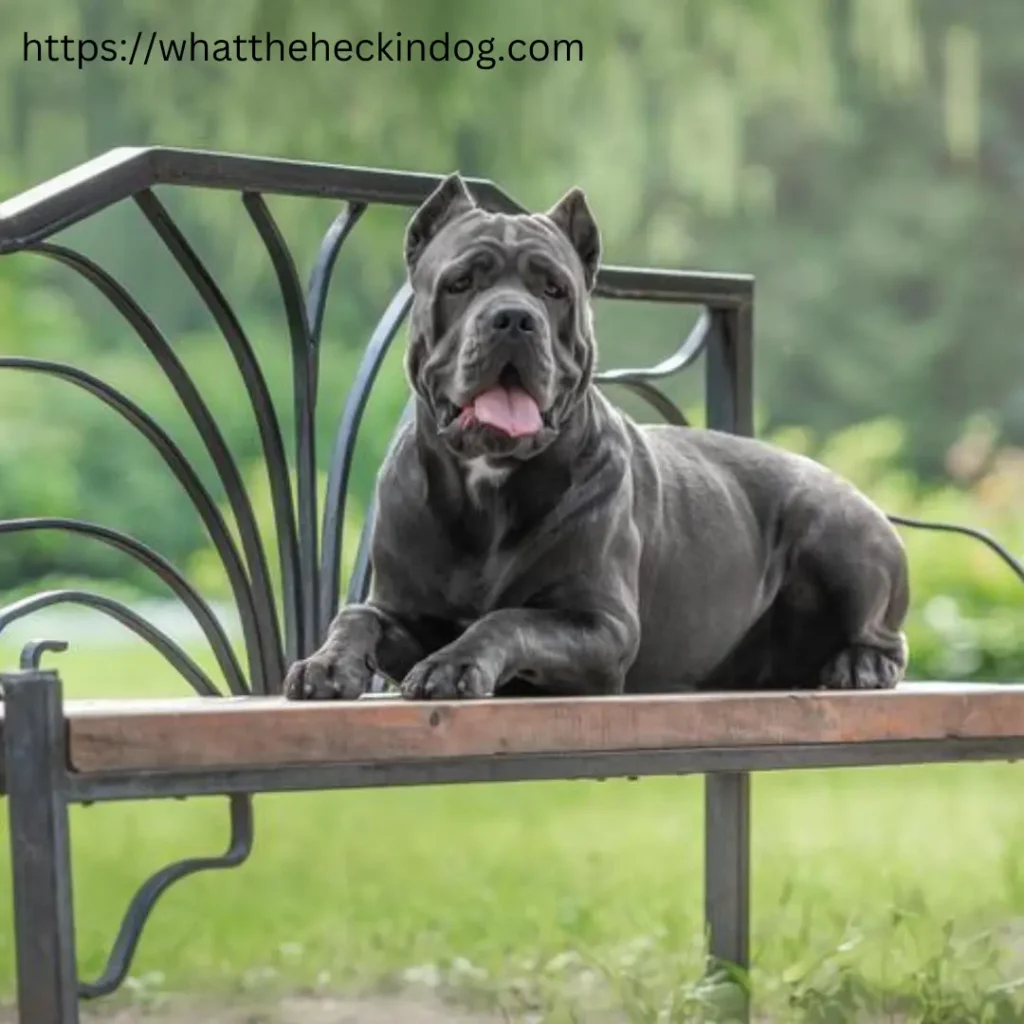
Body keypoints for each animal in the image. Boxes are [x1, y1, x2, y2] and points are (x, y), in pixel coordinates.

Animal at [282, 176, 913, 704]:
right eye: (460, 283)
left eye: (554, 289)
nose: (514, 317)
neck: (488, 484)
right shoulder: (403, 609)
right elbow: (357, 614)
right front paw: (326, 664)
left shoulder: (601, 625)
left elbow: (508, 618)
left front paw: (453, 664)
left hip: (836, 531)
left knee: (885, 634)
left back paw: (860, 664)